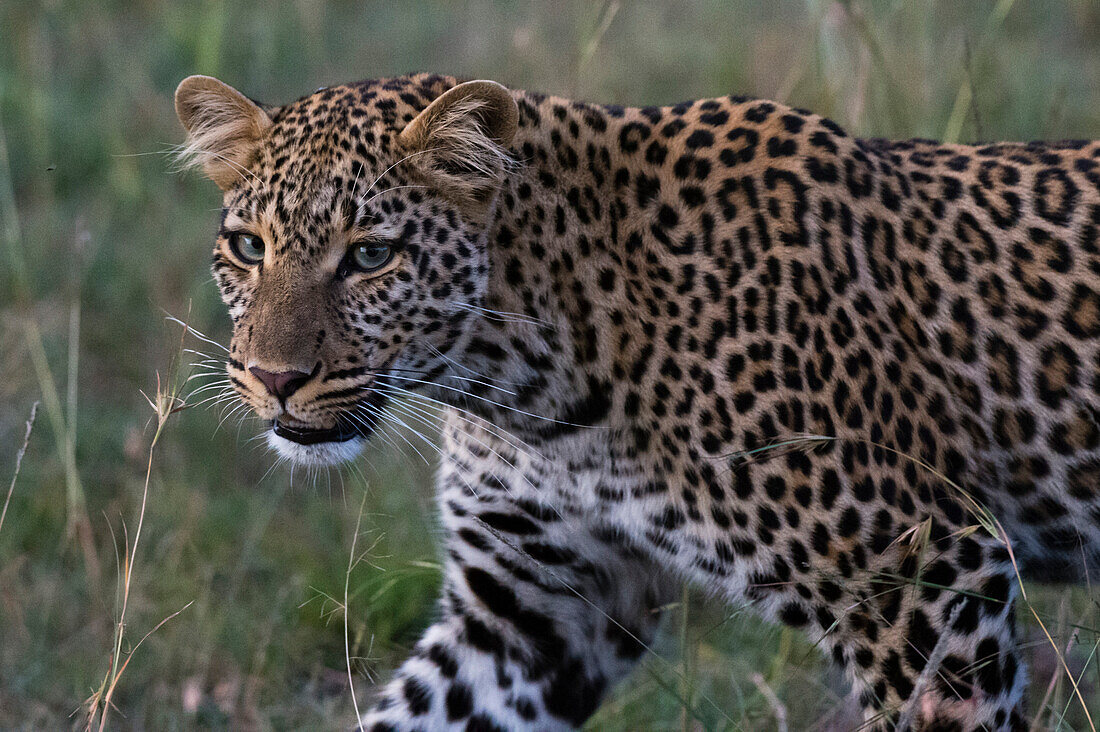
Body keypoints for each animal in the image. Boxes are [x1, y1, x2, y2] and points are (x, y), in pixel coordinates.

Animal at [171, 69, 1100, 730]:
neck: (533, 388)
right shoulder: (529, 617)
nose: (273, 377)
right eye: (248, 248)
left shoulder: (928, 582)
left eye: (370, 256)